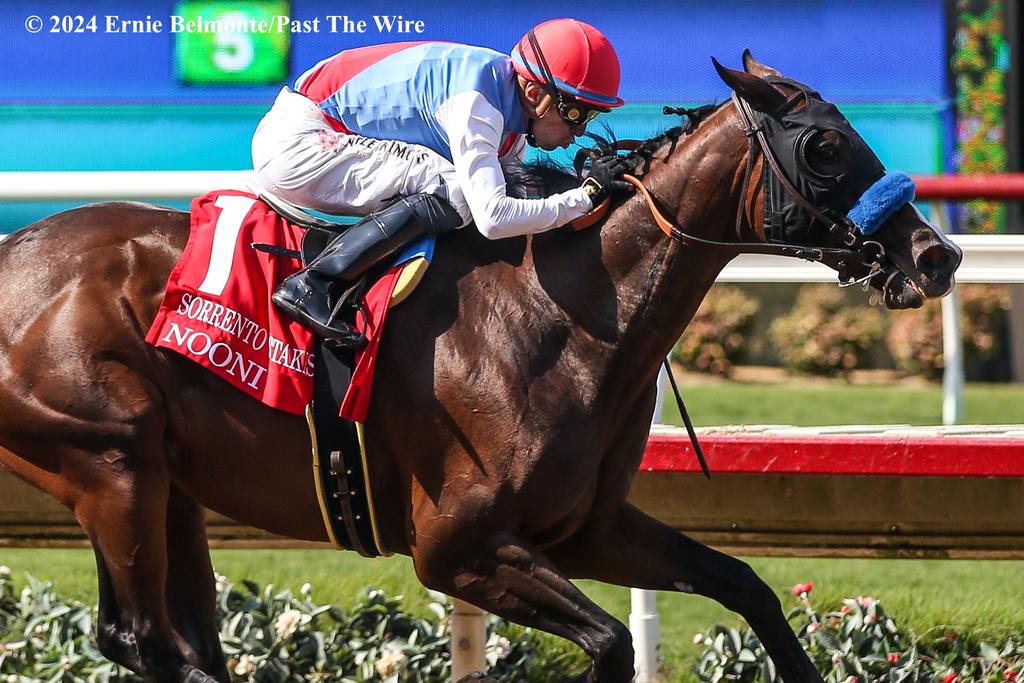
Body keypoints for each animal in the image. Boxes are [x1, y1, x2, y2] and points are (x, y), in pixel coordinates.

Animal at [0, 54, 958, 683]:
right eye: (824, 147)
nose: (936, 255)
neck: (566, 313)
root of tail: (17, 249)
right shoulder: (455, 546)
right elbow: (611, 642)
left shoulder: (585, 526)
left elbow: (746, 585)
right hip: (110, 463)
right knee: (142, 639)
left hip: (169, 483)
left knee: (179, 639)